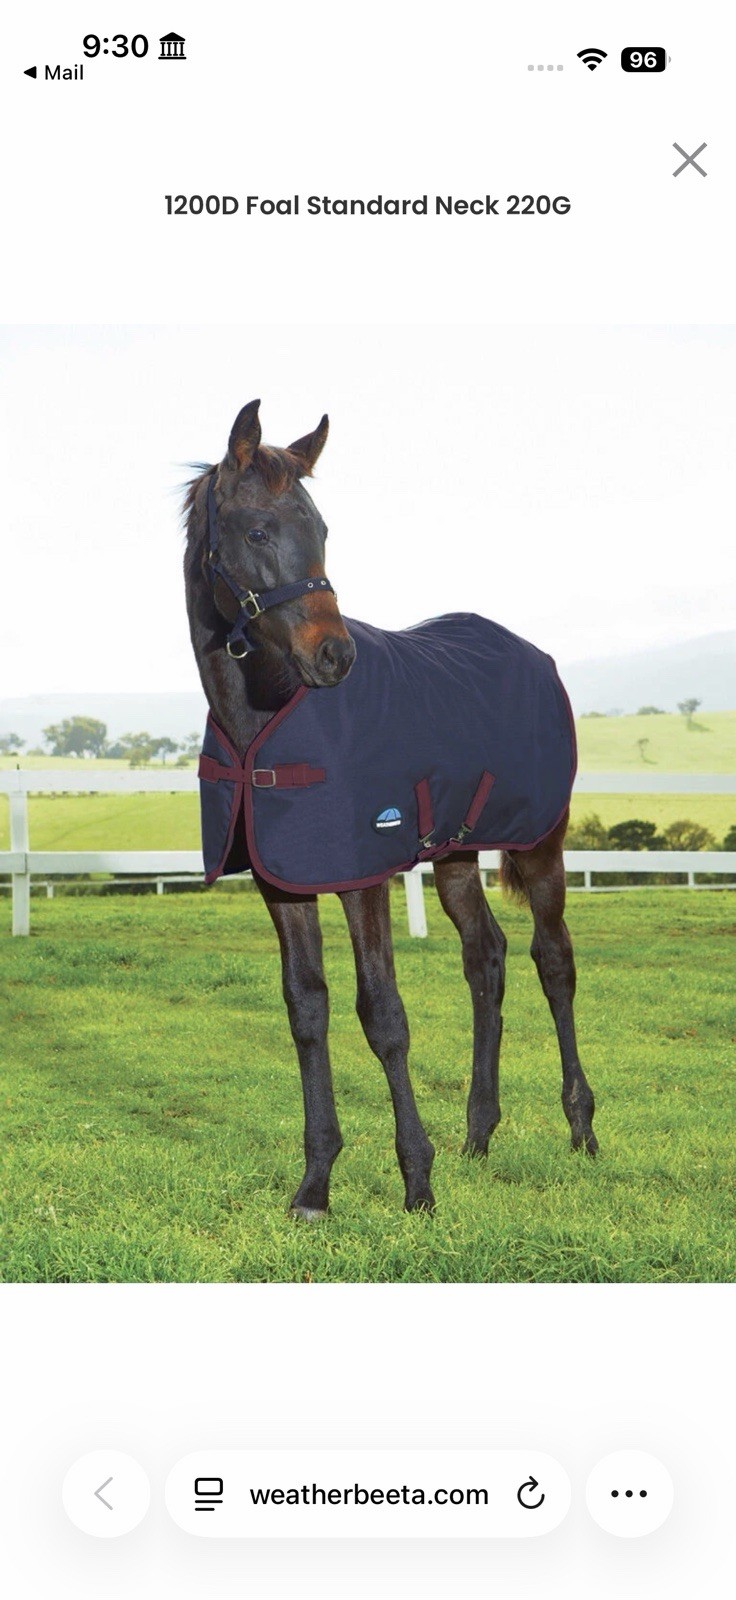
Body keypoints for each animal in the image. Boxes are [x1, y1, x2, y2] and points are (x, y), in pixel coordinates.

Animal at [183, 399, 597, 1217]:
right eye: (257, 531)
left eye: (322, 528)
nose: (334, 656)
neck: (265, 718)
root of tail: (533, 654)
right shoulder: (284, 882)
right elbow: (306, 1010)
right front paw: (315, 1186)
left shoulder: (362, 876)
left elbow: (383, 1015)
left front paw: (417, 1183)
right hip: (458, 853)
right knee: (486, 957)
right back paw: (479, 1134)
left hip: (541, 843)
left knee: (553, 959)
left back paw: (581, 1129)